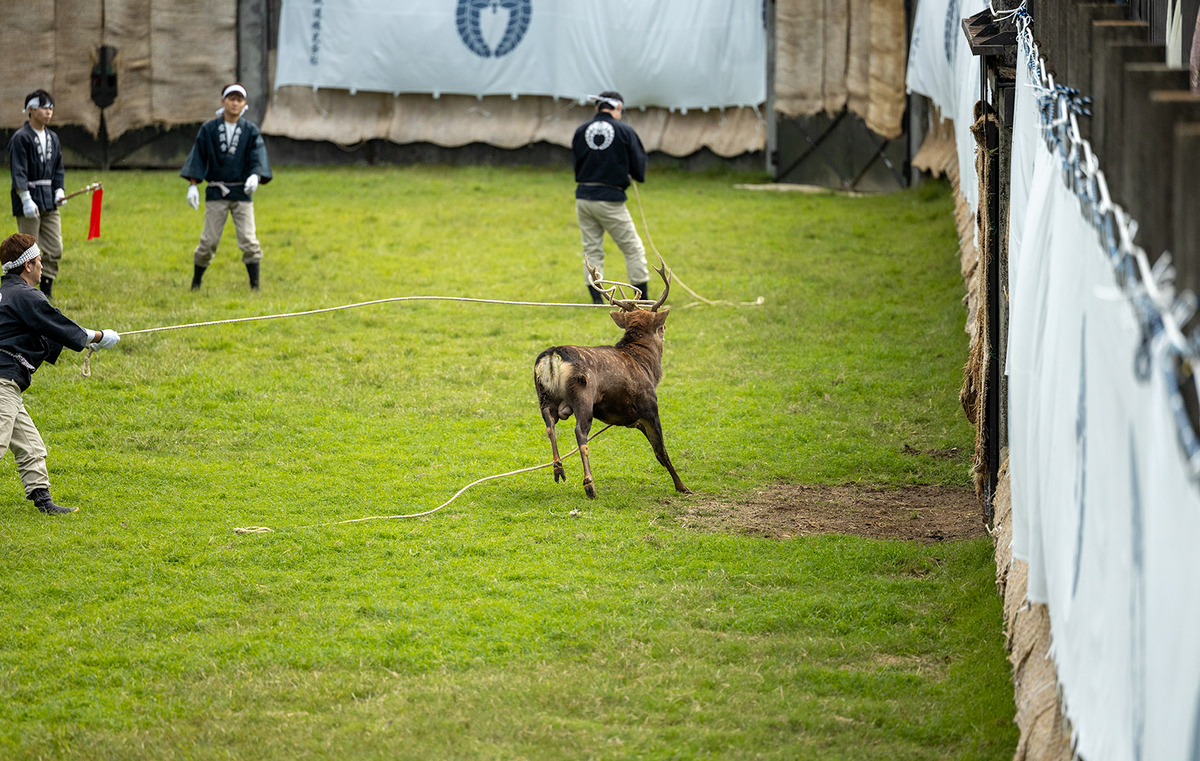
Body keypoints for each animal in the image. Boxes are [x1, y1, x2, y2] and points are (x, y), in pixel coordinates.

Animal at [537, 258, 696, 496]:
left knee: (549, 425)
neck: (647, 366)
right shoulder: (649, 406)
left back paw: (558, 469)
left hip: (544, 396)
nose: (666, 328)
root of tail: (552, 355)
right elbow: (661, 451)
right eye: (660, 327)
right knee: (580, 432)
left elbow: (656, 451)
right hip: (583, 396)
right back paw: (589, 484)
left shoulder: (633, 420)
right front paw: (682, 486)